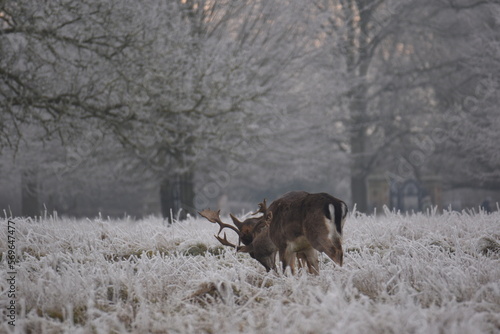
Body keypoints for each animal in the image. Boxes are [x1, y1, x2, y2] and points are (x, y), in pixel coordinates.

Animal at [199, 190, 348, 274]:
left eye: (256, 254)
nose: (270, 269)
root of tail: (336, 204)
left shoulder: (284, 245)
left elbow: (288, 270)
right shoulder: (306, 247)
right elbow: (314, 269)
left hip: (317, 235)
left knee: (335, 253)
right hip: (336, 235)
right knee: (340, 252)